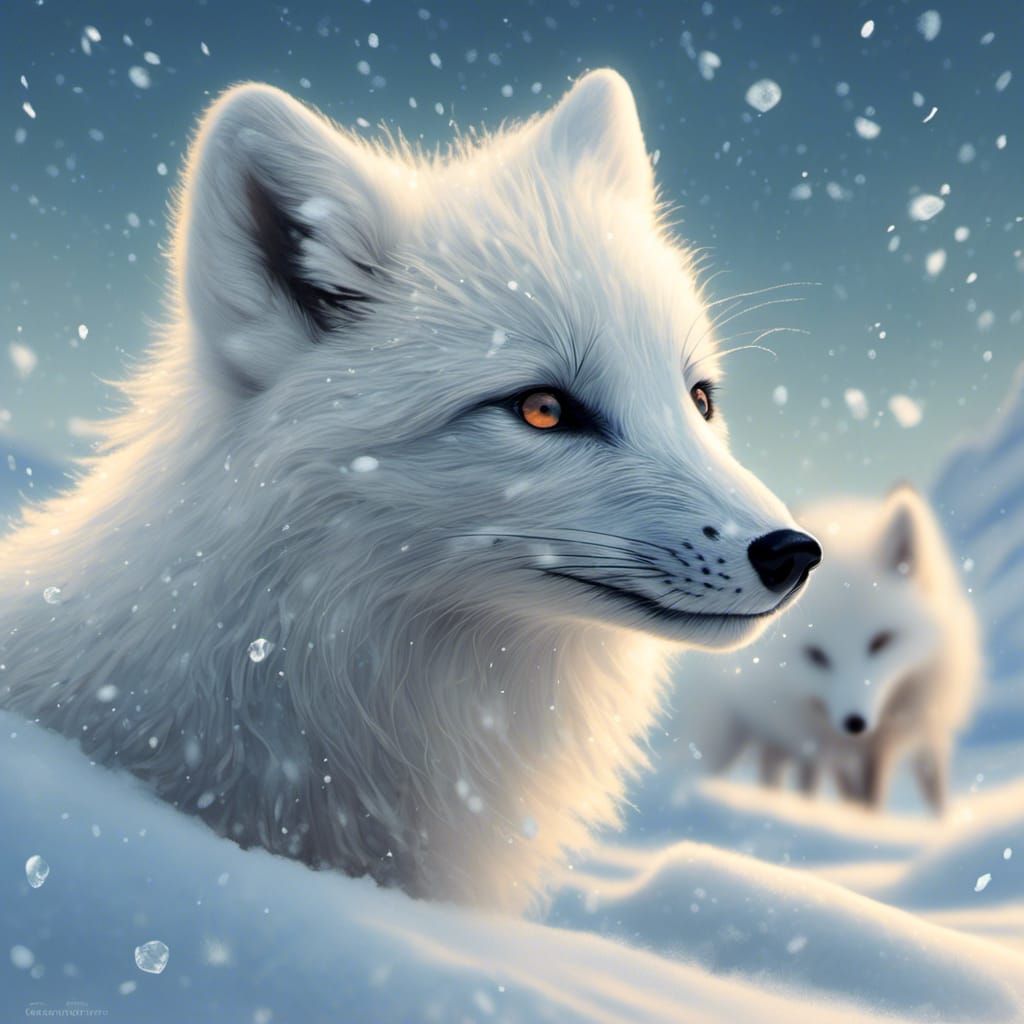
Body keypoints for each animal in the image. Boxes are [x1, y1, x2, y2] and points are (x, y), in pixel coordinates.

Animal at [671, 485, 980, 814]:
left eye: (881, 641)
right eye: (817, 655)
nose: (854, 722)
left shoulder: (912, 731)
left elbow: (921, 795)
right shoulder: (826, 741)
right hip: (732, 736)